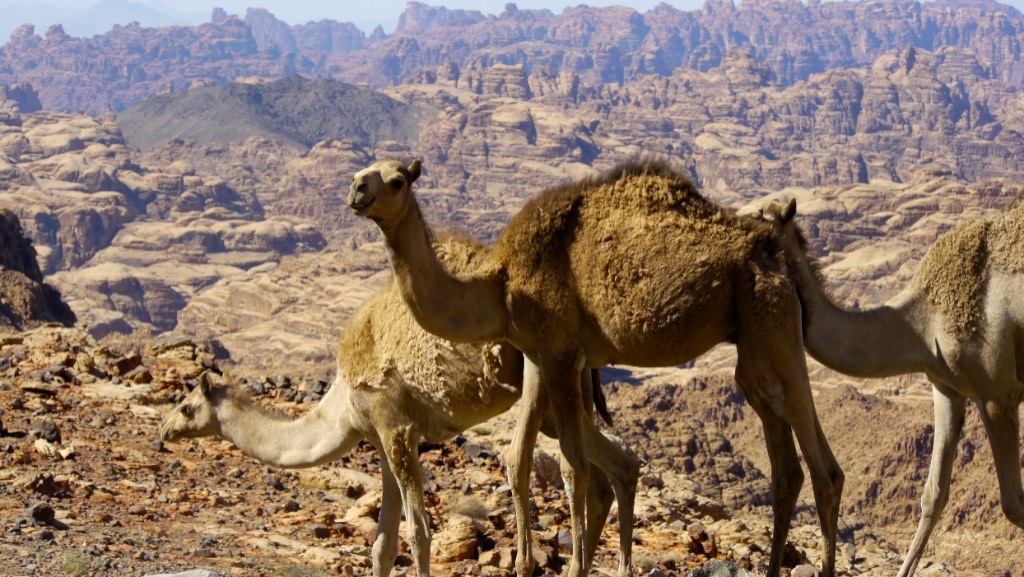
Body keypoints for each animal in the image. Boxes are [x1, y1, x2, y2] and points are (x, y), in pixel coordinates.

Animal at [159, 234, 639, 577]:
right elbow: (382, 545)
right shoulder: (382, 439)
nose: (165, 431)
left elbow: (419, 533)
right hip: (570, 390)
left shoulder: (397, 427)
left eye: (184, 406)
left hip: (543, 373)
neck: (342, 405)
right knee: (616, 465)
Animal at [348, 158, 845, 577]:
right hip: (760, 334)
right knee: (786, 465)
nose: (356, 191)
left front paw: (576, 566)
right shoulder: (545, 357)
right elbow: (545, 459)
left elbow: (573, 468)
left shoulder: (560, 354)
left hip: (770, 320)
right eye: (363, 172)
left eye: (396, 180)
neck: (499, 286)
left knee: (819, 463)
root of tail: (774, 252)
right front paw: (548, 564)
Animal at [753, 197, 1024, 577]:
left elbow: (1013, 504)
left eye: (757, 219)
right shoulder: (947, 389)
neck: (919, 325)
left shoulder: (998, 392)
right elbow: (933, 495)